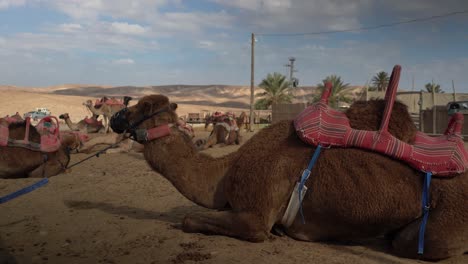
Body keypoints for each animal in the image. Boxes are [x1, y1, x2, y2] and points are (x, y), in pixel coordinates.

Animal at [110, 94, 468, 260]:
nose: (116, 117)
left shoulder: (255, 214)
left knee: (412, 242)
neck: (225, 173)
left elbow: (189, 220)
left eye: (139, 107)